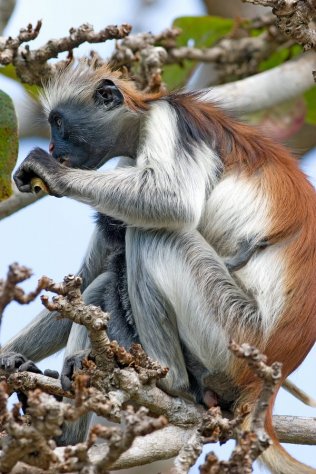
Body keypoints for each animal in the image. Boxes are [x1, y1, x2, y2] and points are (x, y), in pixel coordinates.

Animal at [1, 64, 314, 474]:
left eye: (58, 123)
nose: (53, 148)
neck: (142, 114)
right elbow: (83, 280)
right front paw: (7, 358)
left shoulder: (169, 122)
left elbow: (171, 203)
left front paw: (50, 171)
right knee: (103, 282)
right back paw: (61, 434)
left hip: (234, 335)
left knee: (153, 234)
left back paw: (168, 380)